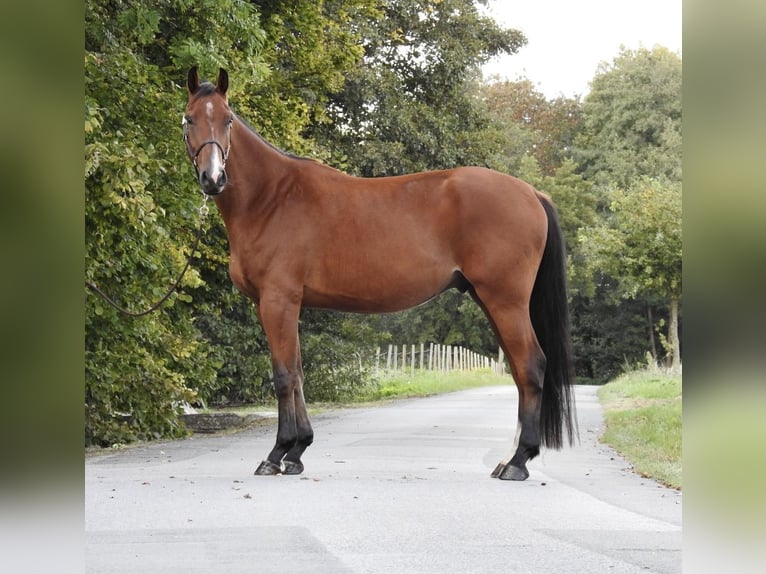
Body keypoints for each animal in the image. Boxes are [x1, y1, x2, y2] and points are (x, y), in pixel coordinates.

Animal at [184, 67, 576, 482]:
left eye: (227, 119)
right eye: (189, 119)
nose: (213, 178)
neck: (271, 198)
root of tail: (531, 193)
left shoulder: (278, 301)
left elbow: (284, 375)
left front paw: (277, 454)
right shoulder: (285, 305)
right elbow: (298, 373)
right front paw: (298, 452)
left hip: (505, 301)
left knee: (531, 365)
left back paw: (518, 461)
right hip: (490, 301)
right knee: (519, 371)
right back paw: (513, 458)